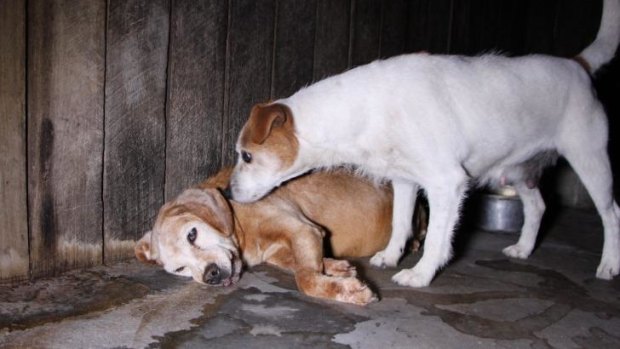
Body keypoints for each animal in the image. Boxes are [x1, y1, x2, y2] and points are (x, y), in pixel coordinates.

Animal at [135, 167, 424, 304]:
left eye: (192, 234)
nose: (211, 275)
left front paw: (347, 290)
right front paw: (336, 268)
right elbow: (305, 266)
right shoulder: (285, 247)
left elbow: (305, 279)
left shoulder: (303, 228)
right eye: (179, 268)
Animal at [230, 0, 620, 288]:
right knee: (538, 206)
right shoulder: (405, 180)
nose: (229, 193)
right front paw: (390, 256)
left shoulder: (447, 183)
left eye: (247, 156)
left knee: (611, 213)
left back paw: (609, 266)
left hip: (591, 161)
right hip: (516, 171)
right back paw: (524, 248)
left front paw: (419, 274)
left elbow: (434, 237)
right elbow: (400, 224)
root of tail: (576, 65)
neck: (369, 106)